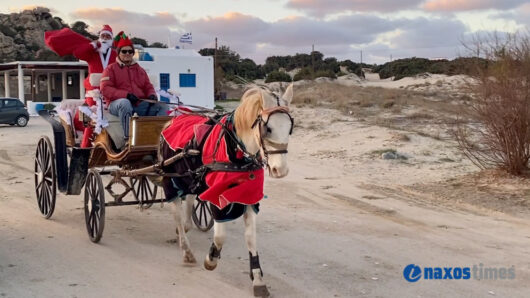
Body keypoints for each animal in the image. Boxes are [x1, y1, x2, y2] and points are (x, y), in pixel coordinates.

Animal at [158, 83, 292, 296]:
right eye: (268, 129)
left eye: (290, 128)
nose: (281, 170)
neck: (237, 151)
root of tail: (173, 118)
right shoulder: (217, 196)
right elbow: (220, 236)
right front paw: (211, 259)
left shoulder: (249, 196)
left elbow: (251, 238)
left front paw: (258, 279)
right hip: (171, 178)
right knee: (177, 213)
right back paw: (186, 250)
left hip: (190, 177)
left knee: (189, 200)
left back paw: (184, 230)